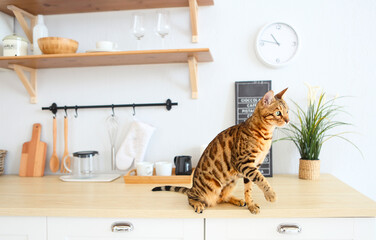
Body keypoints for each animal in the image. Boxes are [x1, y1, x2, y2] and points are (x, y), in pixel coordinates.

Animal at [151, 88, 290, 214]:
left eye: (287, 111)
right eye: (278, 113)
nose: (288, 120)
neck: (266, 135)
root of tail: (193, 186)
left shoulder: (253, 166)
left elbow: (248, 189)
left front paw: (250, 204)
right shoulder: (244, 163)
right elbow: (261, 178)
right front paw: (271, 194)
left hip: (231, 182)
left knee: (221, 197)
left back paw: (237, 200)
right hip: (210, 187)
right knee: (191, 196)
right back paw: (198, 204)